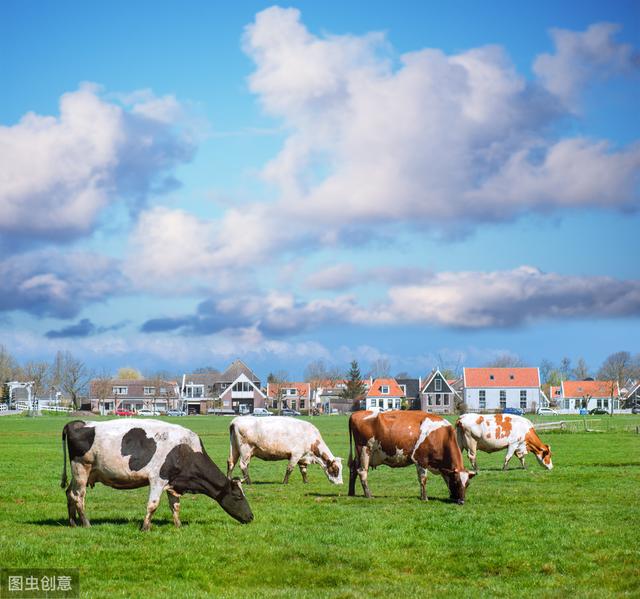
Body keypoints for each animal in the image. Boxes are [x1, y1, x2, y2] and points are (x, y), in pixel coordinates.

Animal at [60, 420, 252, 532]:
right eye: (238, 496)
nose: (251, 517)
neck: (185, 450)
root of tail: (76, 423)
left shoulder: (173, 483)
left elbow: (175, 506)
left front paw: (178, 526)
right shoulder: (158, 479)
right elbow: (152, 505)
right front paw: (145, 527)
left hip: (80, 474)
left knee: (69, 493)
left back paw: (72, 522)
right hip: (81, 468)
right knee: (78, 496)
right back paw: (86, 523)